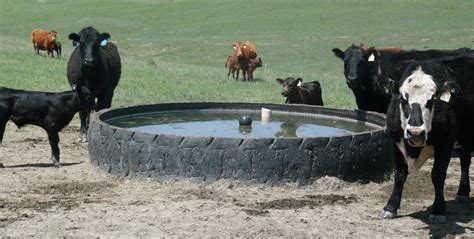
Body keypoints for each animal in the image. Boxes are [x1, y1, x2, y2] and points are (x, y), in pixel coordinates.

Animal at [382, 53, 474, 222]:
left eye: (432, 100)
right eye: (403, 100)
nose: (416, 132)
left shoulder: (445, 144)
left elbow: (438, 175)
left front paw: (438, 210)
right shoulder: (396, 143)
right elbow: (399, 174)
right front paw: (390, 207)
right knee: (465, 161)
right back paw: (463, 193)